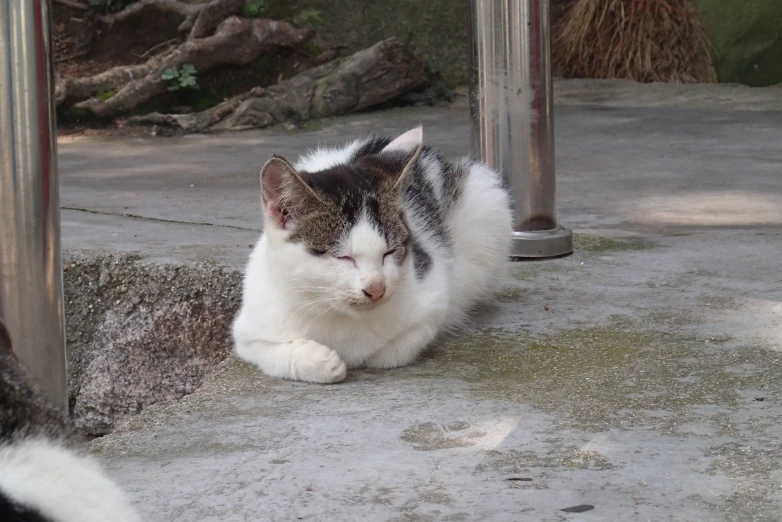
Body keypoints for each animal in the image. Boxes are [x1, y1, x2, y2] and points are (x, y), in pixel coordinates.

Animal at [233, 126, 516, 382]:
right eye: (343, 257)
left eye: (389, 252)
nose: (376, 288)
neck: (338, 317)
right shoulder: (246, 330)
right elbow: (269, 351)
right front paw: (320, 361)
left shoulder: (433, 296)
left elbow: (393, 350)